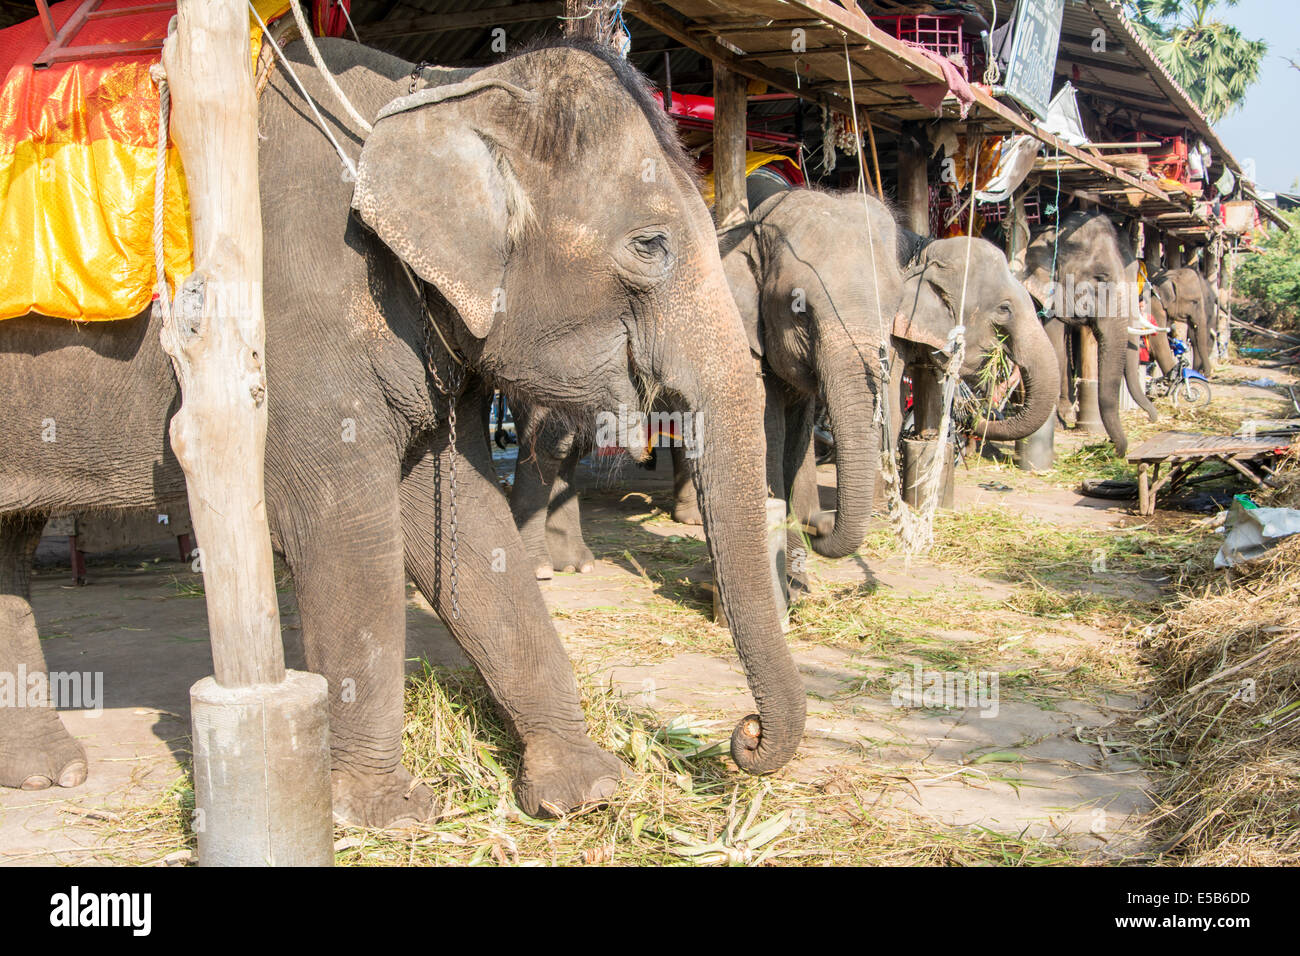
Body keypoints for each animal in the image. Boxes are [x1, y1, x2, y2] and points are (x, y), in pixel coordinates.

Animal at [0, 37, 806, 827]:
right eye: (650, 245)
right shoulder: (290, 317)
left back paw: (47, 773)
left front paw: (589, 790)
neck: (441, 90)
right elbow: (347, 532)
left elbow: (468, 529)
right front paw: (386, 813)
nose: (744, 738)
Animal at [506, 184, 1055, 574]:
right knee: (553, 439)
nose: (823, 527)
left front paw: (800, 537)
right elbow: (766, 431)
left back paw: (589, 558)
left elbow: (801, 428)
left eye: (892, 302)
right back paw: (544, 568)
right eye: (800, 309)